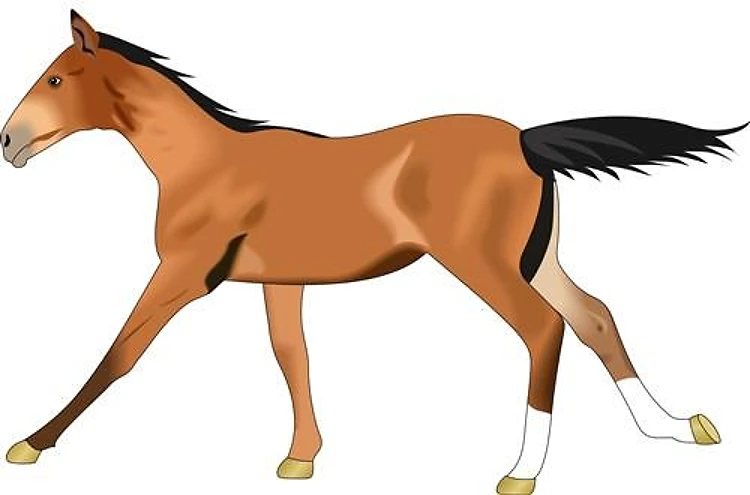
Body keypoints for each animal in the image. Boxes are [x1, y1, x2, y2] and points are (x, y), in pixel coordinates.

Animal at [1, 10, 744, 495]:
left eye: (57, 80)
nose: (9, 141)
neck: (205, 163)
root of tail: (527, 140)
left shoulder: (184, 273)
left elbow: (120, 352)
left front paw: (32, 442)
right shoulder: (281, 281)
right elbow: (292, 357)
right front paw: (301, 459)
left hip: (483, 263)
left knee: (544, 328)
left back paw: (521, 472)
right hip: (537, 260)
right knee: (594, 317)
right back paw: (680, 428)